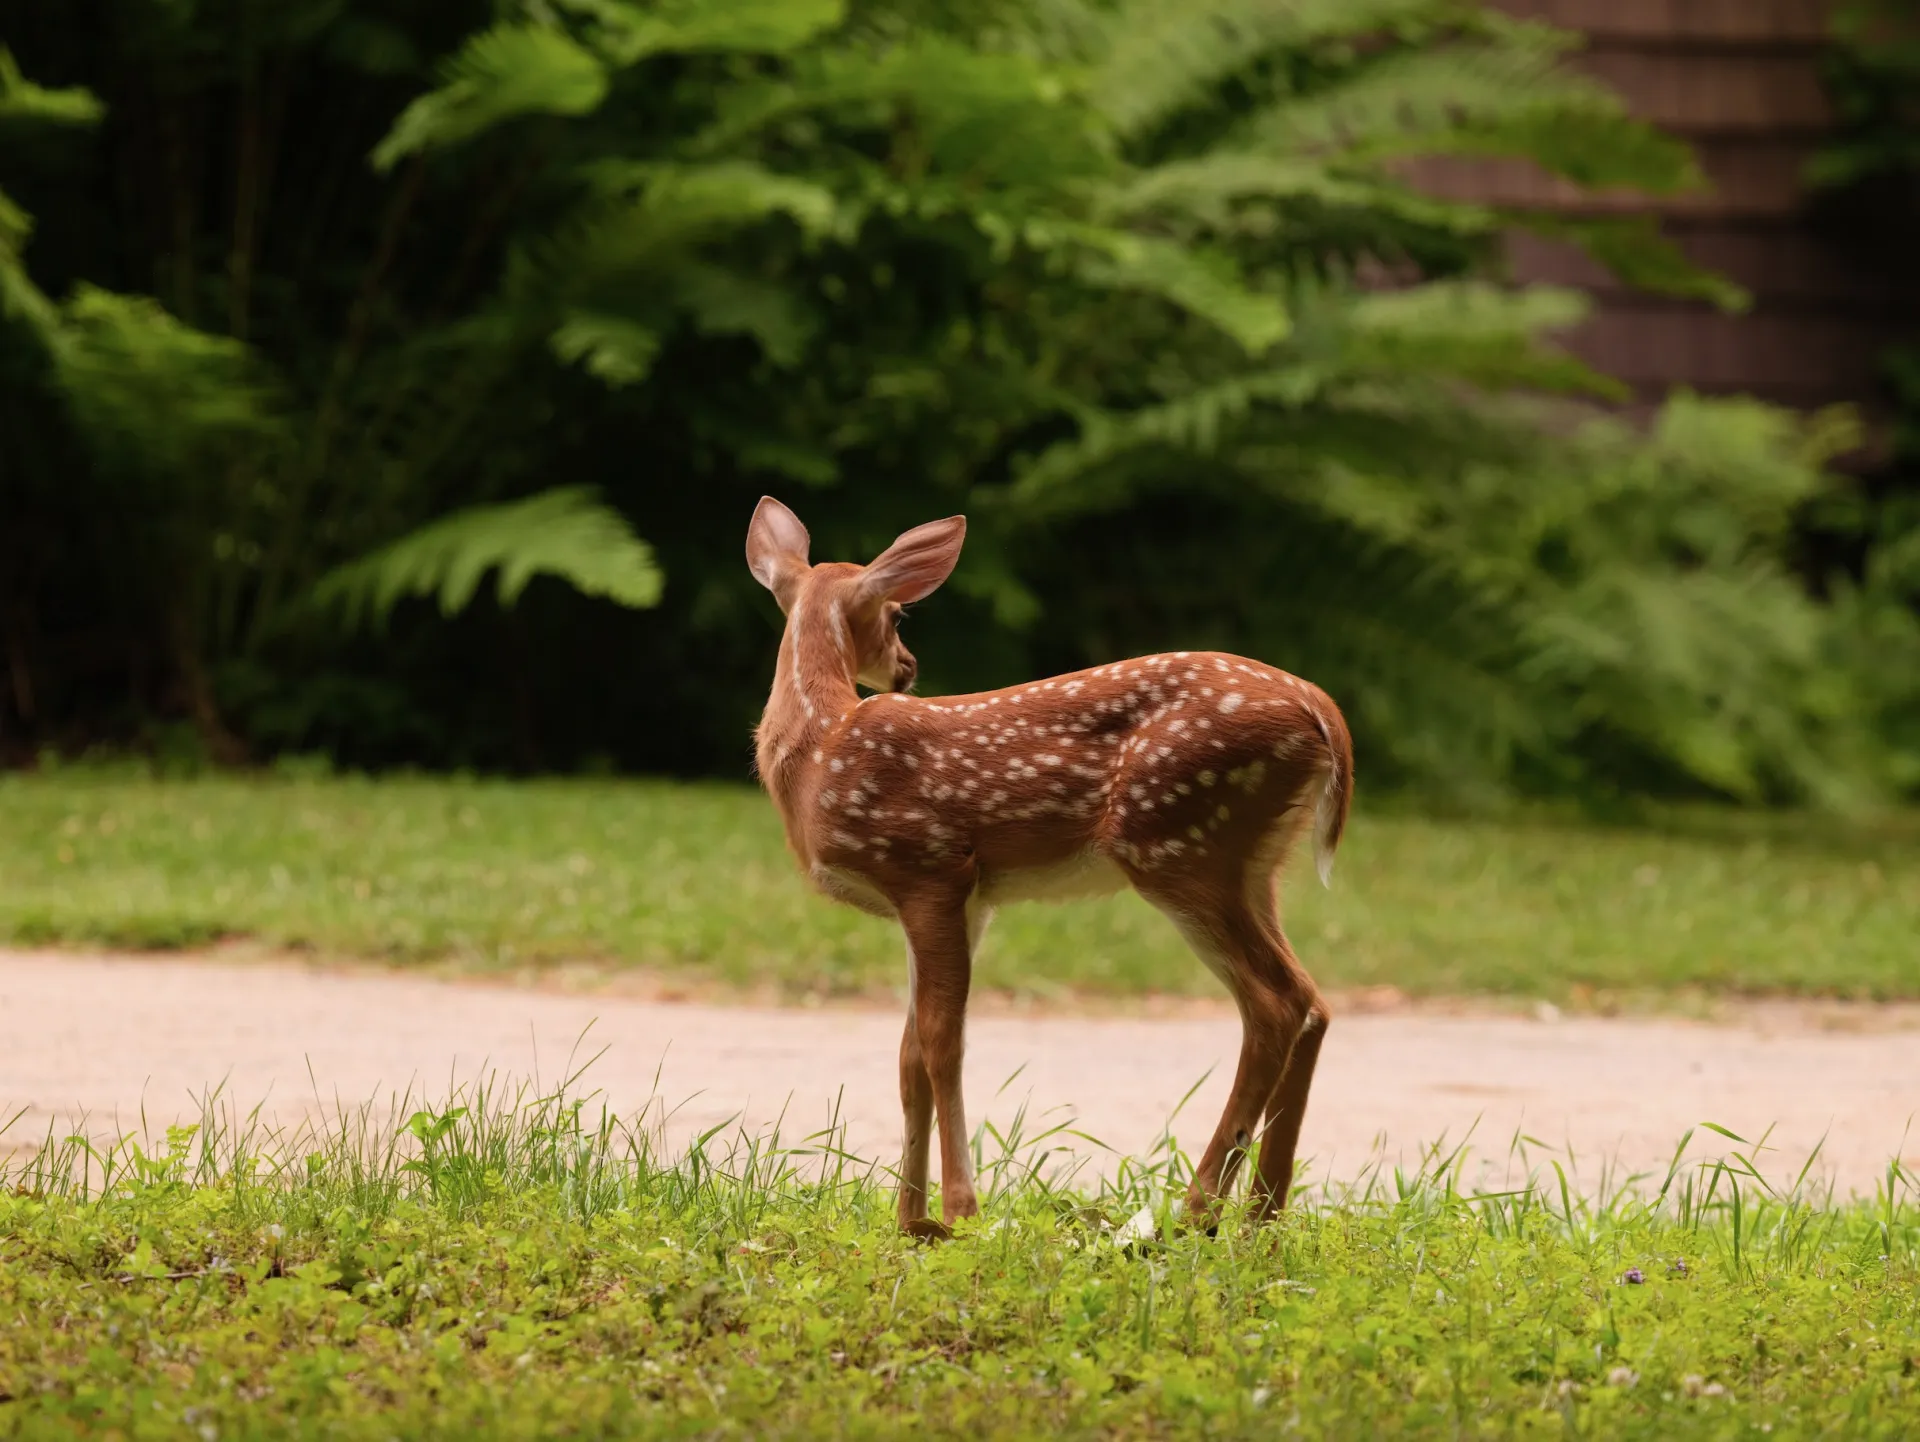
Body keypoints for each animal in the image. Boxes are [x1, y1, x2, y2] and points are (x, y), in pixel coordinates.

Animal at [746, 497, 1353, 1239]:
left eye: (899, 615)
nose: (910, 666)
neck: (817, 752)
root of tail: (1322, 709)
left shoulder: (931, 868)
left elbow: (943, 1043)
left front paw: (960, 1210)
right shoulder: (965, 900)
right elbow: (910, 1054)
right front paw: (911, 1221)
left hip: (1180, 844)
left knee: (1275, 1003)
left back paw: (1198, 1210)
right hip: (1250, 865)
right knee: (1312, 1000)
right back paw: (1262, 1213)